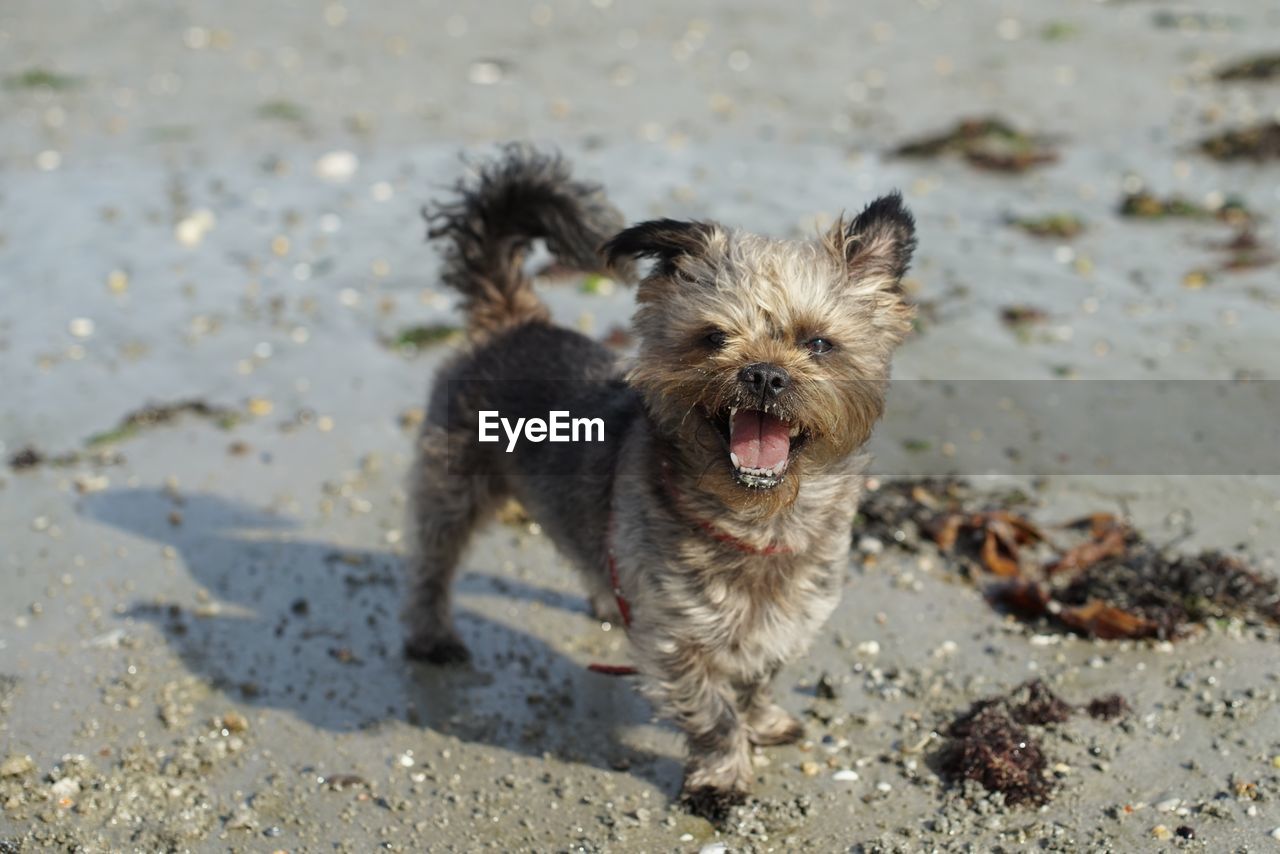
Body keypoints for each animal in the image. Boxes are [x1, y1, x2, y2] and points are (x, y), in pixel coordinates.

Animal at [404, 145, 916, 819]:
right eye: (713, 337)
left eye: (819, 343)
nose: (763, 374)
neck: (758, 519)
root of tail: (513, 318)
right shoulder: (679, 640)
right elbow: (714, 712)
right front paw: (721, 777)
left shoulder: (787, 620)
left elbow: (755, 682)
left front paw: (762, 723)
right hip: (452, 486)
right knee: (432, 563)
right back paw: (432, 635)